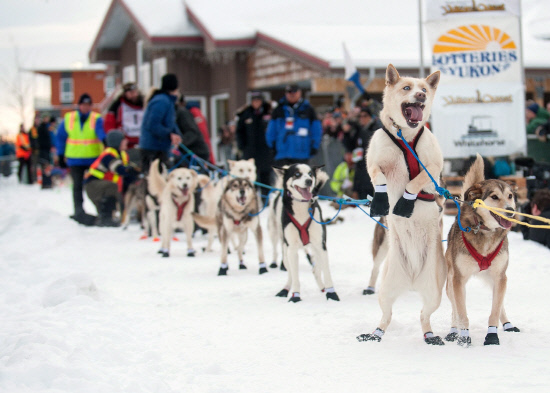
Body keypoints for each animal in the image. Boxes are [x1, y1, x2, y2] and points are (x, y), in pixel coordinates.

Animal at [272, 164, 338, 302]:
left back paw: (322, 287)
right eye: (297, 174)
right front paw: (295, 296)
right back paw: (285, 289)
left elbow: (326, 272)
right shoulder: (291, 249)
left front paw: (331, 294)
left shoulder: (321, 245)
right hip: (286, 253)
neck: (301, 210)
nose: (309, 181)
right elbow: (295, 277)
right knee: (291, 274)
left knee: (316, 269)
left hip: (317, 249)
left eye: (310, 174)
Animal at [358, 63, 448, 344]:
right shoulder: (374, 162)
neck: (405, 137)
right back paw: (374, 334)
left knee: (423, 316)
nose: (420, 95)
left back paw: (430, 336)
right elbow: (379, 178)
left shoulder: (432, 168)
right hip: (386, 289)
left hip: (433, 293)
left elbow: (415, 182)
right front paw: (381, 199)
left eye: (424, 89)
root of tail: (411, 282)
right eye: (407, 87)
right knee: (386, 317)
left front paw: (405, 202)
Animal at [444, 154, 520, 346]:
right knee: (454, 309)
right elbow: (461, 314)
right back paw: (453, 331)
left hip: (495, 279)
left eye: (510, 196)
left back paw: (508, 324)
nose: (511, 211)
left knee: (499, 304)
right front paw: (464, 337)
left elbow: (495, 311)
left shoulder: (500, 276)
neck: (485, 231)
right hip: (450, 282)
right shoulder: (458, 280)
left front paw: (492, 335)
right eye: (494, 196)